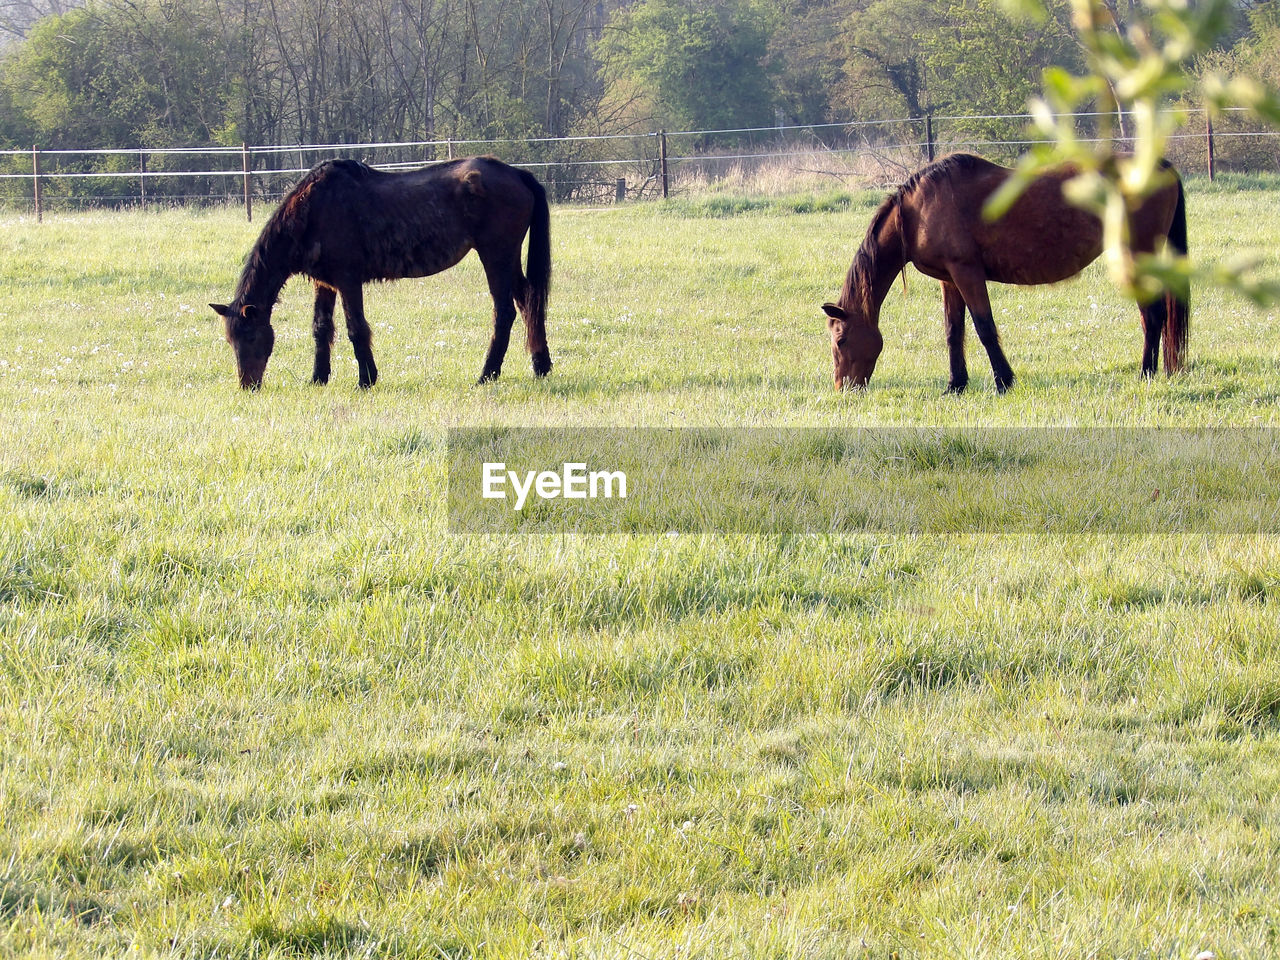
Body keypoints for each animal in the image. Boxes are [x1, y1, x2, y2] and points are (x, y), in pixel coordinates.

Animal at [209, 156, 550, 389]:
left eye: (252, 336)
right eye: (230, 340)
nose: (248, 385)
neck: (313, 210)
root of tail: (517, 173)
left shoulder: (348, 280)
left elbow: (356, 328)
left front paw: (366, 379)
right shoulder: (324, 283)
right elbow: (321, 328)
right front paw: (318, 378)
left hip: (496, 256)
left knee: (504, 312)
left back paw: (487, 374)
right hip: (507, 259)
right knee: (529, 302)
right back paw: (540, 366)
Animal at [819, 152, 1187, 391]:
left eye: (841, 339)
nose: (843, 388)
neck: (916, 212)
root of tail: (1162, 166)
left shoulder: (967, 272)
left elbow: (984, 328)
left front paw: (1004, 382)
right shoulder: (949, 279)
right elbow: (954, 331)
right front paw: (956, 385)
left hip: (1137, 255)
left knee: (1152, 315)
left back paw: (1146, 373)